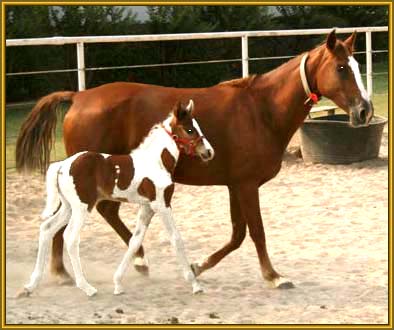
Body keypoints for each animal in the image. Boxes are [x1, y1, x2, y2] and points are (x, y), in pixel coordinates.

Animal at [23, 100, 214, 296]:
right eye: (190, 129)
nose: (208, 152)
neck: (156, 162)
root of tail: (62, 165)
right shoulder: (162, 204)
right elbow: (176, 239)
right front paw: (195, 284)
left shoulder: (147, 208)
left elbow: (134, 241)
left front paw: (118, 283)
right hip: (82, 207)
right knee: (70, 238)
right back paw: (87, 287)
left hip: (68, 207)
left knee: (47, 228)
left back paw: (31, 285)